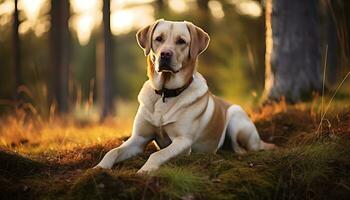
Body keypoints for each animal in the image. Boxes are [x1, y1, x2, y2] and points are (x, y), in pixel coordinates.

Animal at [95, 19, 274, 173]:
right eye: (158, 39)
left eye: (181, 41)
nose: (165, 54)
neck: (165, 93)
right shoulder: (138, 138)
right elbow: (112, 152)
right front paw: (98, 168)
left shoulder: (183, 141)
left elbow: (157, 154)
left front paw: (145, 170)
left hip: (235, 117)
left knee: (245, 149)